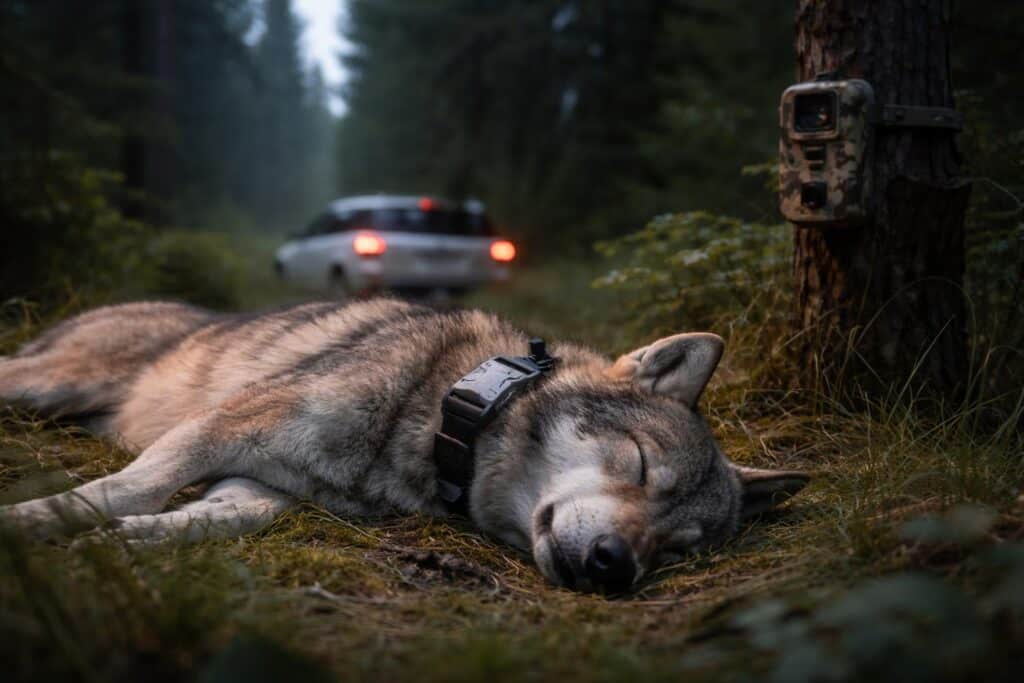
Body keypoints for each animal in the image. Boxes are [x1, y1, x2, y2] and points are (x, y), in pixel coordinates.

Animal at [0, 299, 808, 592]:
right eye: (638, 464)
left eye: (678, 550)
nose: (616, 566)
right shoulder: (226, 426)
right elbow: (127, 487)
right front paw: (31, 523)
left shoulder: (264, 489)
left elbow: (198, 519)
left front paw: (120, 544)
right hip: (43, 385)